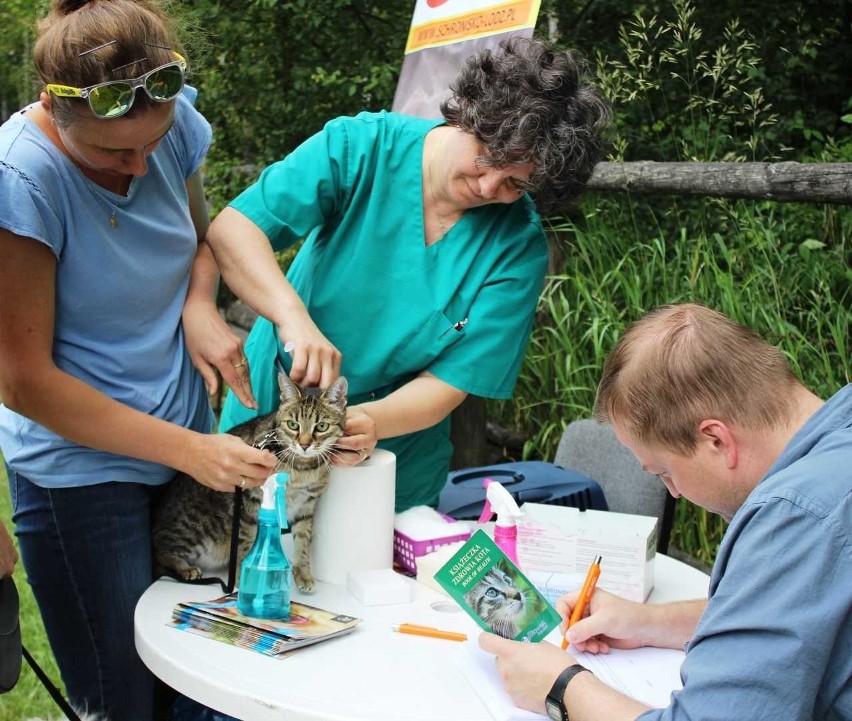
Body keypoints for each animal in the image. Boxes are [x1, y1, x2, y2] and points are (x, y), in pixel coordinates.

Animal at [151, 372, 348, 592]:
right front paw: (243, 576)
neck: (301, 468)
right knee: (159, 550)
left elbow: (303, 541)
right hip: (195, 531)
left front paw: (303, 572)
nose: (304, 445)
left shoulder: (305, 506)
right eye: (293, 425)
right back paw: (185, 568)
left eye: (321, 426)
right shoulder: (249, 501)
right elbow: (246, 540)